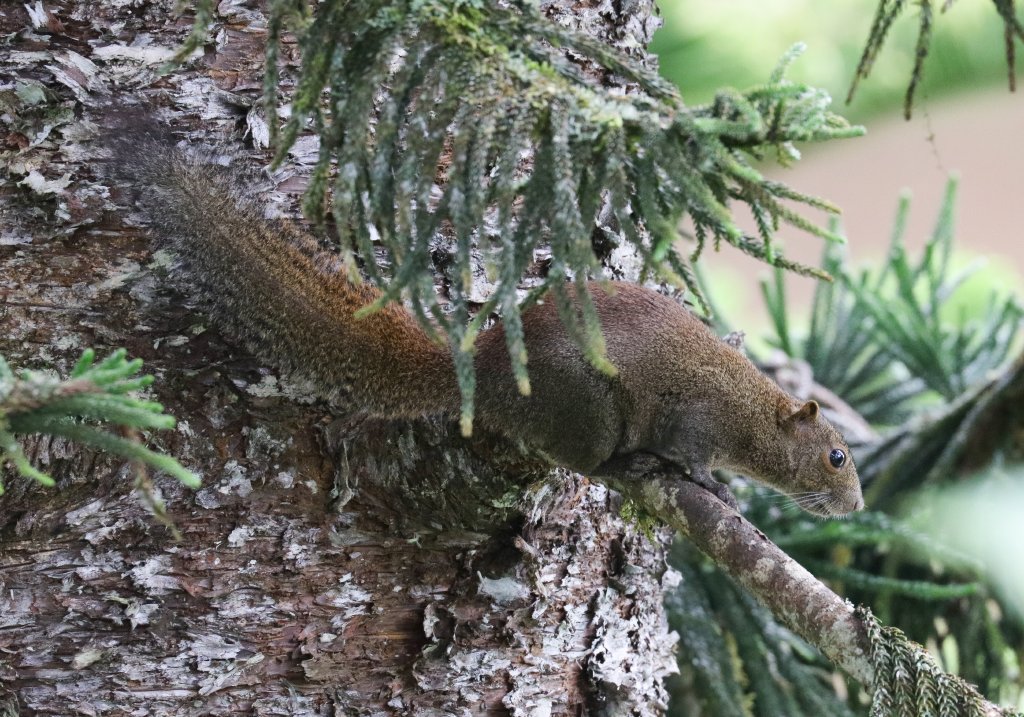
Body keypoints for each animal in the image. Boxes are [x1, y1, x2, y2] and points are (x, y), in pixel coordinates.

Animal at [109, 134, 864, 518]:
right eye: (836, 456)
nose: (853, 506)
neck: (753, 412)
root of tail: (493, 370)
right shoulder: (699, 415)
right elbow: (695, 456)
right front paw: (715, 485)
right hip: (586, 409)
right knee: (586, 457)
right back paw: (627, 462)